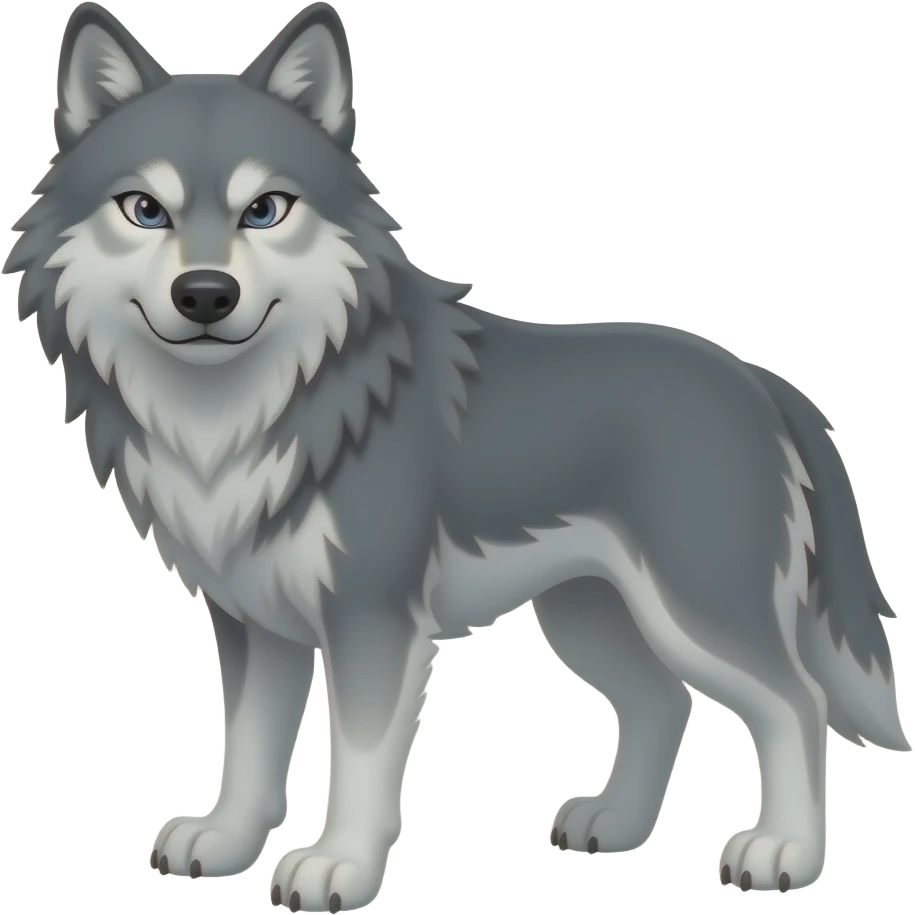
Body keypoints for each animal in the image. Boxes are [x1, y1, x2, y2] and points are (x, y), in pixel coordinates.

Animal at [3, 1, 908, 909]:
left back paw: (783, 852)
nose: (203, 295)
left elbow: (359, 759)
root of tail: (759, 379)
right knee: (664, 701)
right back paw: (613, 825)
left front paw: (338, 865)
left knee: (796, 703)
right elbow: (249, 749)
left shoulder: (370, 618)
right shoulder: (256, 622)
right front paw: (226, 842)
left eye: (264, 210)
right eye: (143, 209)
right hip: (588, 616)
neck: (236, 414)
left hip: (695, 611)